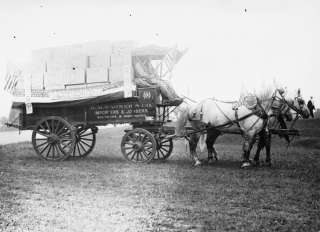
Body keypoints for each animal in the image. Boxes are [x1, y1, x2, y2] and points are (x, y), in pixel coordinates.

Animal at [175, 88, 310, 168]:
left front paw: (257, 160)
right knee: (193, 143)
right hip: (198, 129)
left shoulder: (260, 131)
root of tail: (194, 106)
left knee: (209, 142)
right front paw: (246, 161)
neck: (259, 110)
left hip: (214, 129)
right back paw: (197, 160)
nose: (308, 114)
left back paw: (211, 159)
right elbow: (248, 146)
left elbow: (258, 145)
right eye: (301, 101)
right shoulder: (250, 132)